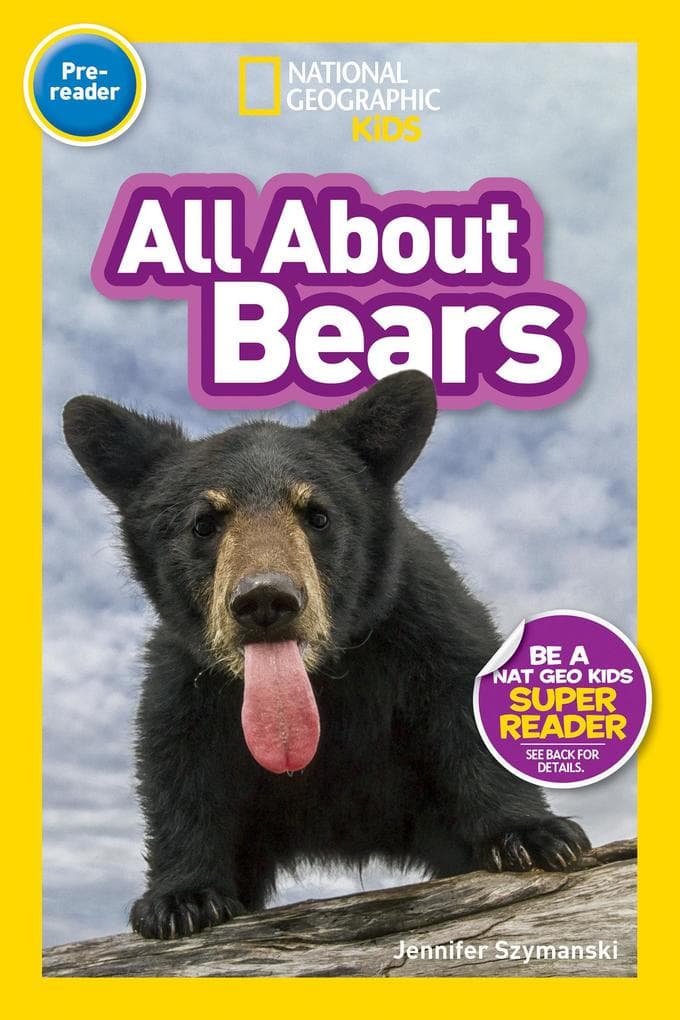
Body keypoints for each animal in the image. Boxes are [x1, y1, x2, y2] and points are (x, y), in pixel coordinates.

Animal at [62, 370, 589, 940]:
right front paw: (180, 899)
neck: (322, 678)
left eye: (317, 516)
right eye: (204, 522)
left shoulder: (423, 618)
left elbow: (464, 702)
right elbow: (178, 759)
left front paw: (535, 836)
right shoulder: (186, 673)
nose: (265, 599)